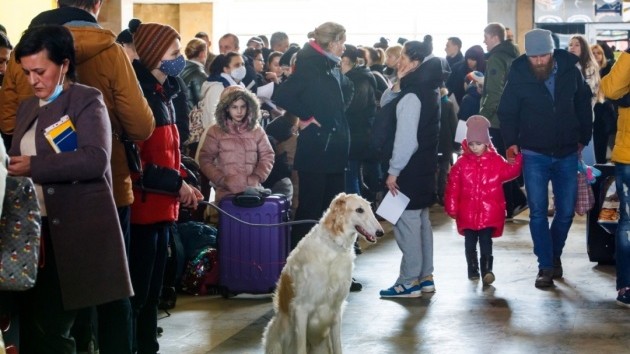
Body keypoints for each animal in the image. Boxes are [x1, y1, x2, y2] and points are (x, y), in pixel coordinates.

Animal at [262, 194, 386, 354]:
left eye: (370, 209)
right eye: (359, 210)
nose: (380, 232)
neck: (334, 247)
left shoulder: (336, 310)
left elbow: (338, 347)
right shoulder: (301, 309)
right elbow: (301, 348)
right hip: (277, 335)